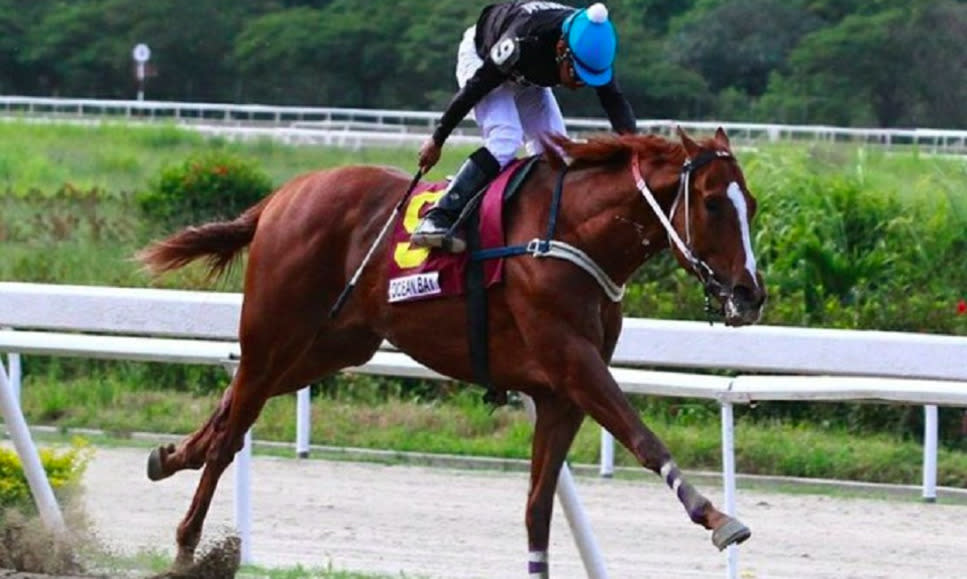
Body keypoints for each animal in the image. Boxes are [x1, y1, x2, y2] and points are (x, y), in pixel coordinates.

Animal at [140, 127, 768, 576]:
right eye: (712, 203)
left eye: (754, 205)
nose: (749, 293)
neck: (571, 236)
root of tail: (282, 196)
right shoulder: (575, 364)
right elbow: (644, 438)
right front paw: (717, 517)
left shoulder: (559, 394)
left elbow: (538, 508)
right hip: (274, 333)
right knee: (231, 433)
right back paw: (188, 547)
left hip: (329, 347)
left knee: (230, 412)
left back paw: (170, 456)